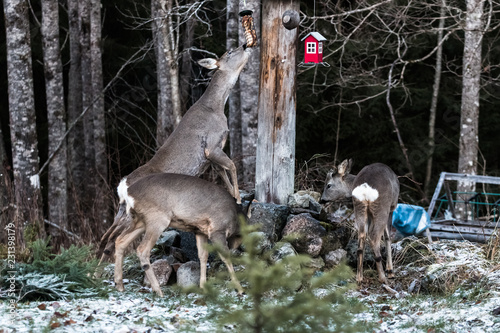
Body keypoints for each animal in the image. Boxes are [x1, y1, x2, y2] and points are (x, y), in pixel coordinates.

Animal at [97, 43, 254, 262]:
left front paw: (234, 197)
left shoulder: (211, 157)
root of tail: (123, 185)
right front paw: (239, 199)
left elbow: (224, 175)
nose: (245, 45)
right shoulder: (211, 146)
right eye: (230, 52)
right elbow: (232, 166)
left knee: (107, 235)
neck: (216, 106)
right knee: (114, 237)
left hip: (122, 211)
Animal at [114, 171, 246, 296]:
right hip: (157, 219)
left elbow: (203, 256)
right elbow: (225, 256)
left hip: (140, 221)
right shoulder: (217, 229)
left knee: (120, 241)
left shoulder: (200, 231)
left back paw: (119, 285)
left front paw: (203, 287)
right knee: (142, 249)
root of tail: (127, 192)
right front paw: (240, 289)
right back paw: (158, 291)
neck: (235, 219)